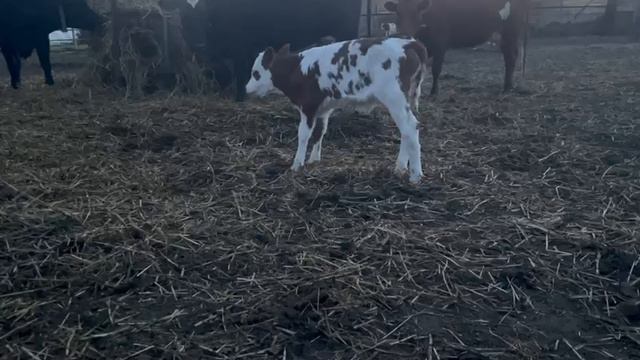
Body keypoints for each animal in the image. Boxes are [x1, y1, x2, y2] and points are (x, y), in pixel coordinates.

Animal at [168, 0, 362, 101]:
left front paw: (240, 99)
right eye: (185, 16)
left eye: (205, 14)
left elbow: (240, 73)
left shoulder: (241, 47)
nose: (199, 44)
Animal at [248, 37, 428, 183]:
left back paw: (415, 176)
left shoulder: (308, 106)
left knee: (410, 127)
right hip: (404, 100)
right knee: (406, 131)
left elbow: (303, 135)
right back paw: (400, 168)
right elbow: (320, 132)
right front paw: (314, 160)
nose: (247, 89)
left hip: (394, 98)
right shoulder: (323, 109)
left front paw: (297, 164)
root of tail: (408, 43)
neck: (297, 69)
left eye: (256, 73)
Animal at [384, 0, 528, 95]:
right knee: (509, 56)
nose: (404, 34)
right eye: (398, 13)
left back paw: (507, 87)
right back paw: (508, 85)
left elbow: (436, 69)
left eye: (416, 13)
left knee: (511, 57)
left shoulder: (440, 43)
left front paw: (434, 92)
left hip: (511, 30)